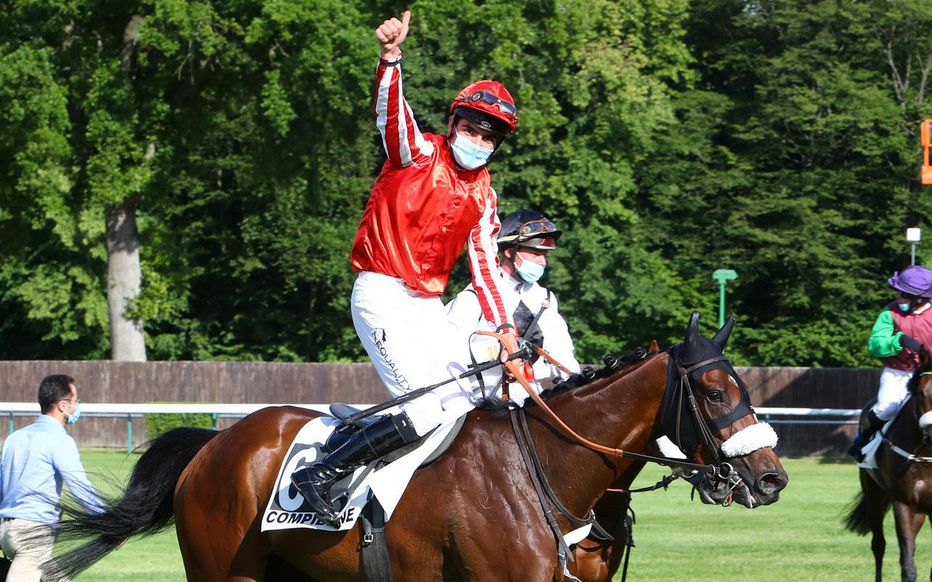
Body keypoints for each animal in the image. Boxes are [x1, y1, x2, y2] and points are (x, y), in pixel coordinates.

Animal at [45, 314, 788, 582]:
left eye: (745, 386)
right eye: (715, 392)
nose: (772, 477)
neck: (544, 473)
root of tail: (216, 445)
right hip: (224, 572)